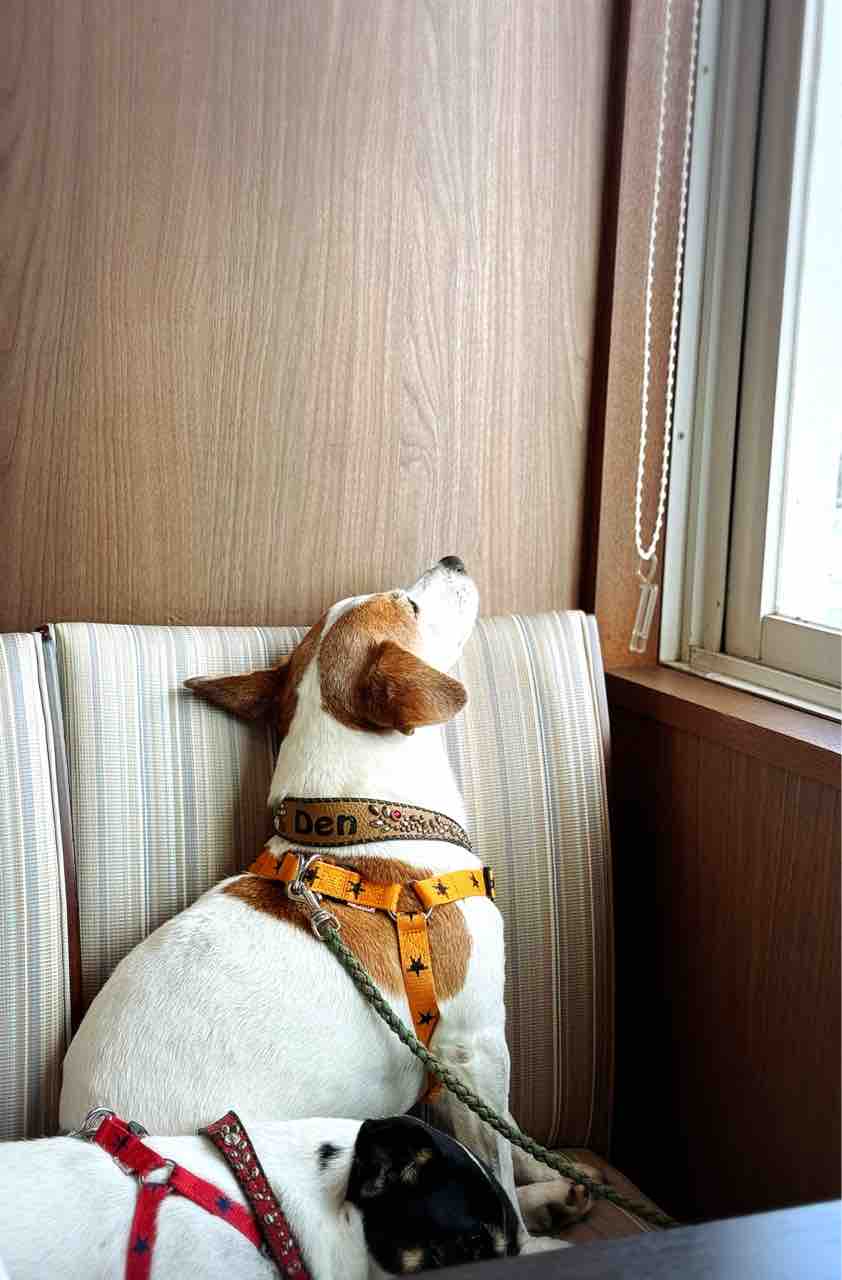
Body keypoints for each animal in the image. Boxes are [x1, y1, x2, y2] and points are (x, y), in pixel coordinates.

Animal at [59, 558, 591, 1247]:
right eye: (409, 604)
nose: (451, 559)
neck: (368, 821)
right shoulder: (472, 1043)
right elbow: (494, 1159)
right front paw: (526, 1240)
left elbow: (509, 1131)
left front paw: (544, 1176)